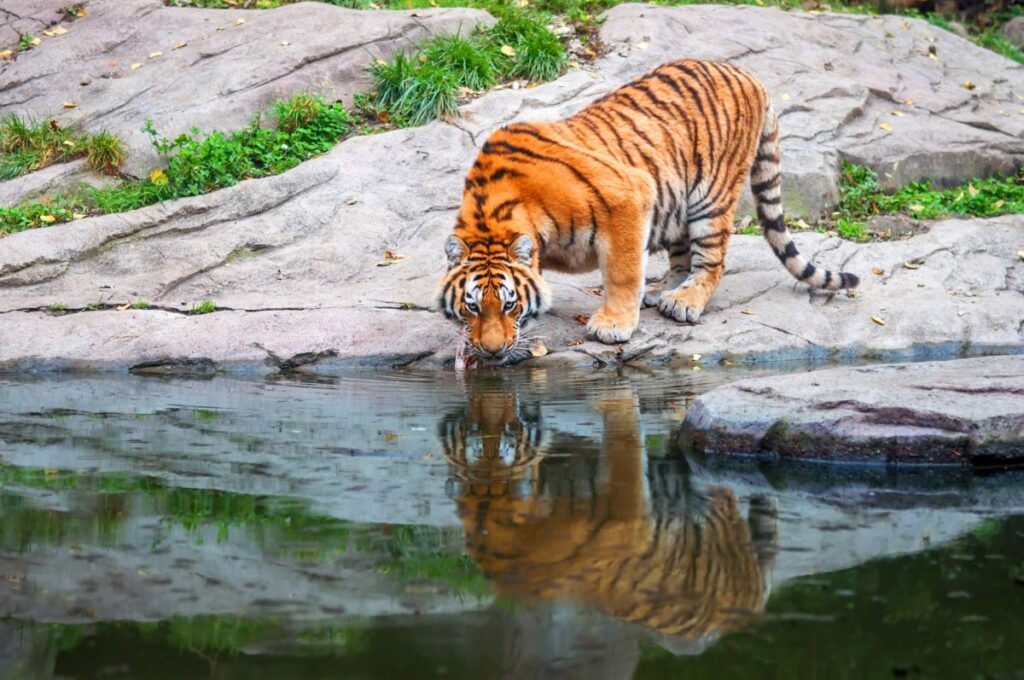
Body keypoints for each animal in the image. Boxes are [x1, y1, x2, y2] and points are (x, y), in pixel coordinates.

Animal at [437, 59, 859, 362]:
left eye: (510, 304)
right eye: (472, 307)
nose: (492, 352)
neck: (494, 212)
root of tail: (748, 74)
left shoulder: (627, 196)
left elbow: (622, 272)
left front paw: (613, 325)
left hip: (710, 197)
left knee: (712, 261)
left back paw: (683, 302)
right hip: (676, 200)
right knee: (682, 255)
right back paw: (662, 289)